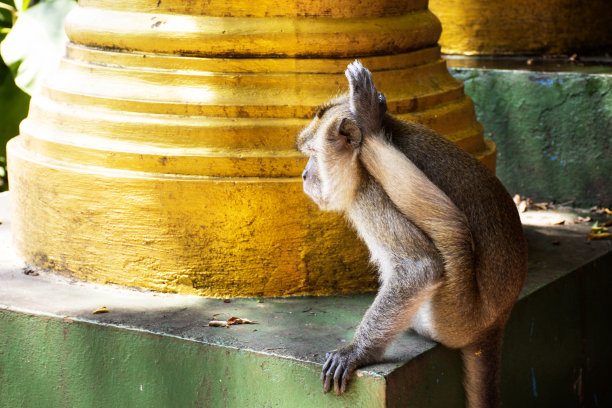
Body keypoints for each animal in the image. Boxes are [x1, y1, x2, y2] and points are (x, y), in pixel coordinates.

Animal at [296, 60, 524, 408]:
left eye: (313, 153)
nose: (305, 175)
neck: (358, 165)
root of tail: (496, 321)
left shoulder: (369, 195)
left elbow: (421, 267)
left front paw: (358, 352)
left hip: (452, 313)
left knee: (451, 231)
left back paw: (372, 126)